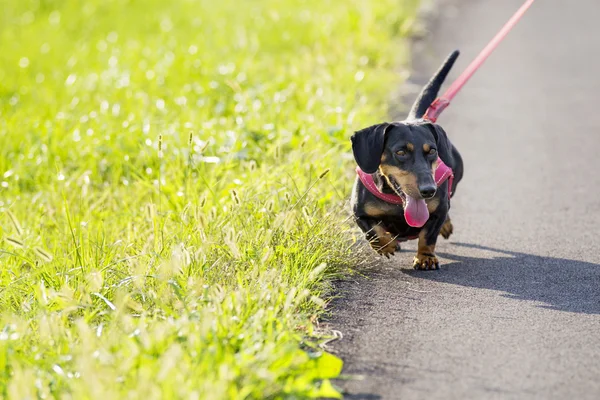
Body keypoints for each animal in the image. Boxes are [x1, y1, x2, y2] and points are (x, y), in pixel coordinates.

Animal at [352, 50, 464, 268]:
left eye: (432, 151)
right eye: (401, 152)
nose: (429, 190)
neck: (397, 201)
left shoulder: (437, 211)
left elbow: (428, 235)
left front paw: (425, 257)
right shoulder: (358, 212)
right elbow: (373, 232)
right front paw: (387, 245)